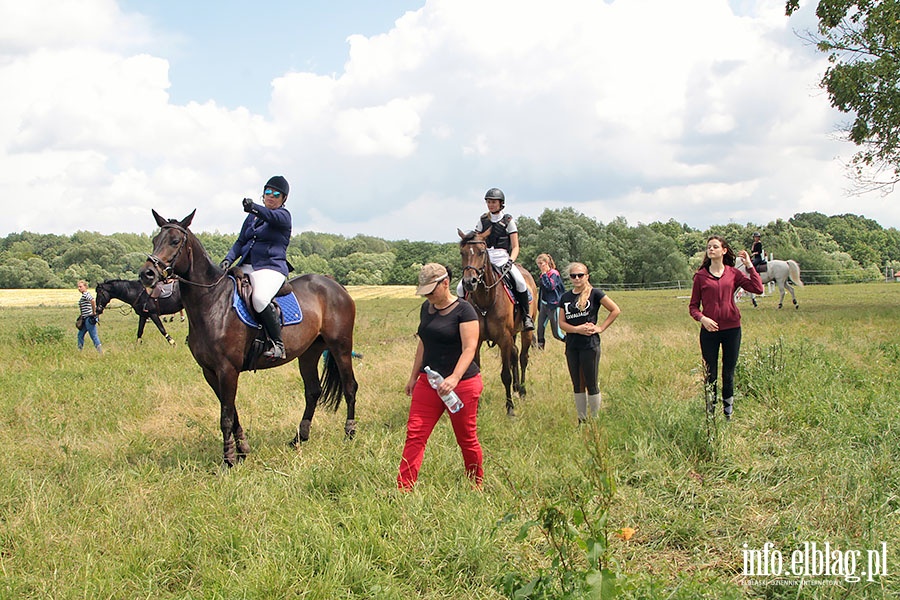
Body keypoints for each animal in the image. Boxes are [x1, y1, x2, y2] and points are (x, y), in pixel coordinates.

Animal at [139, 211, 356, 468]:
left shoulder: (227, 370)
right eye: (154, 240)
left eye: (174, 241)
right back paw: (299, 438)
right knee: (313, 391)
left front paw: (229, 460)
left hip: (341, 347)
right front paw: (242, 450)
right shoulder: (210, 372)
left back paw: (349, 433)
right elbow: (232, 412)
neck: (212, 302)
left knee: (350, 387)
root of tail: (334, 284)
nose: (146, 274)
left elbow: (225, 416)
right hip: (309, 353)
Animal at [458, 230, 536, 418]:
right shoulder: (477, 341)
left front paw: (510, 409)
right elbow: (476, 372)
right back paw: (517, 388)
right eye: (462, 253)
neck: (486, 300)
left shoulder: (504, 338)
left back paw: (522, 391)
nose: (469, 282)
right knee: (515, 354)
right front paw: (476, 408)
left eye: (481, 252)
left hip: (525, 332)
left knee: (523, 357)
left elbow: (505, 375)